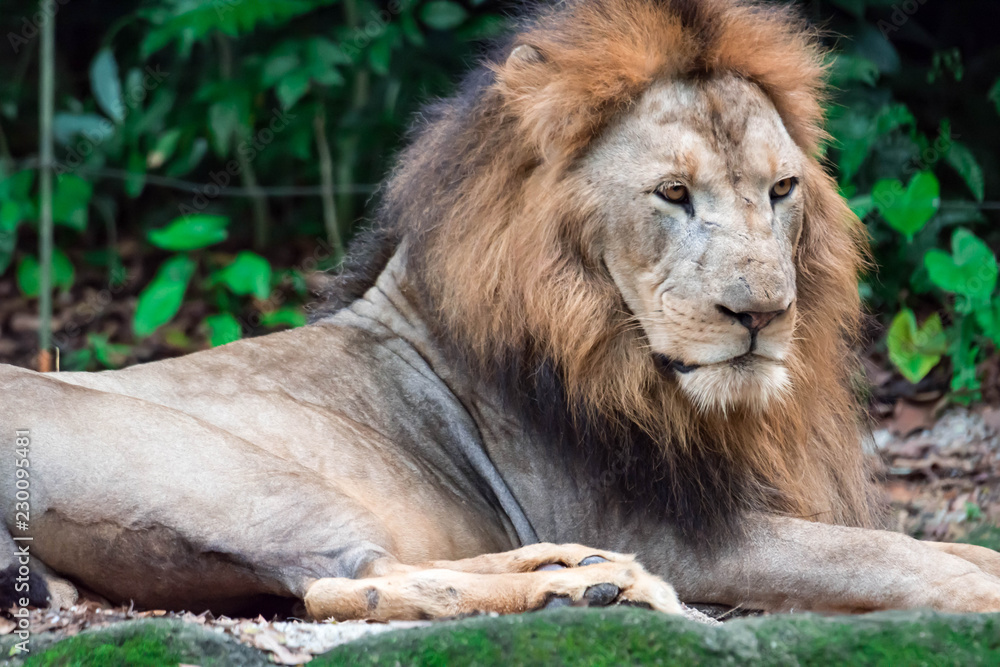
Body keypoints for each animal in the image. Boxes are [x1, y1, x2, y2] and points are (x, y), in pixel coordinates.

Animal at [3, 0, 1000, 621]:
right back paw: (580, 589)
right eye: (673, 193)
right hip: (242, 476)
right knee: (339, 581)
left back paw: (583, 573)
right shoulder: (681, 535)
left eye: (782, 189)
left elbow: (948, 549)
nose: (762, 313)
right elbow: (891, 557)